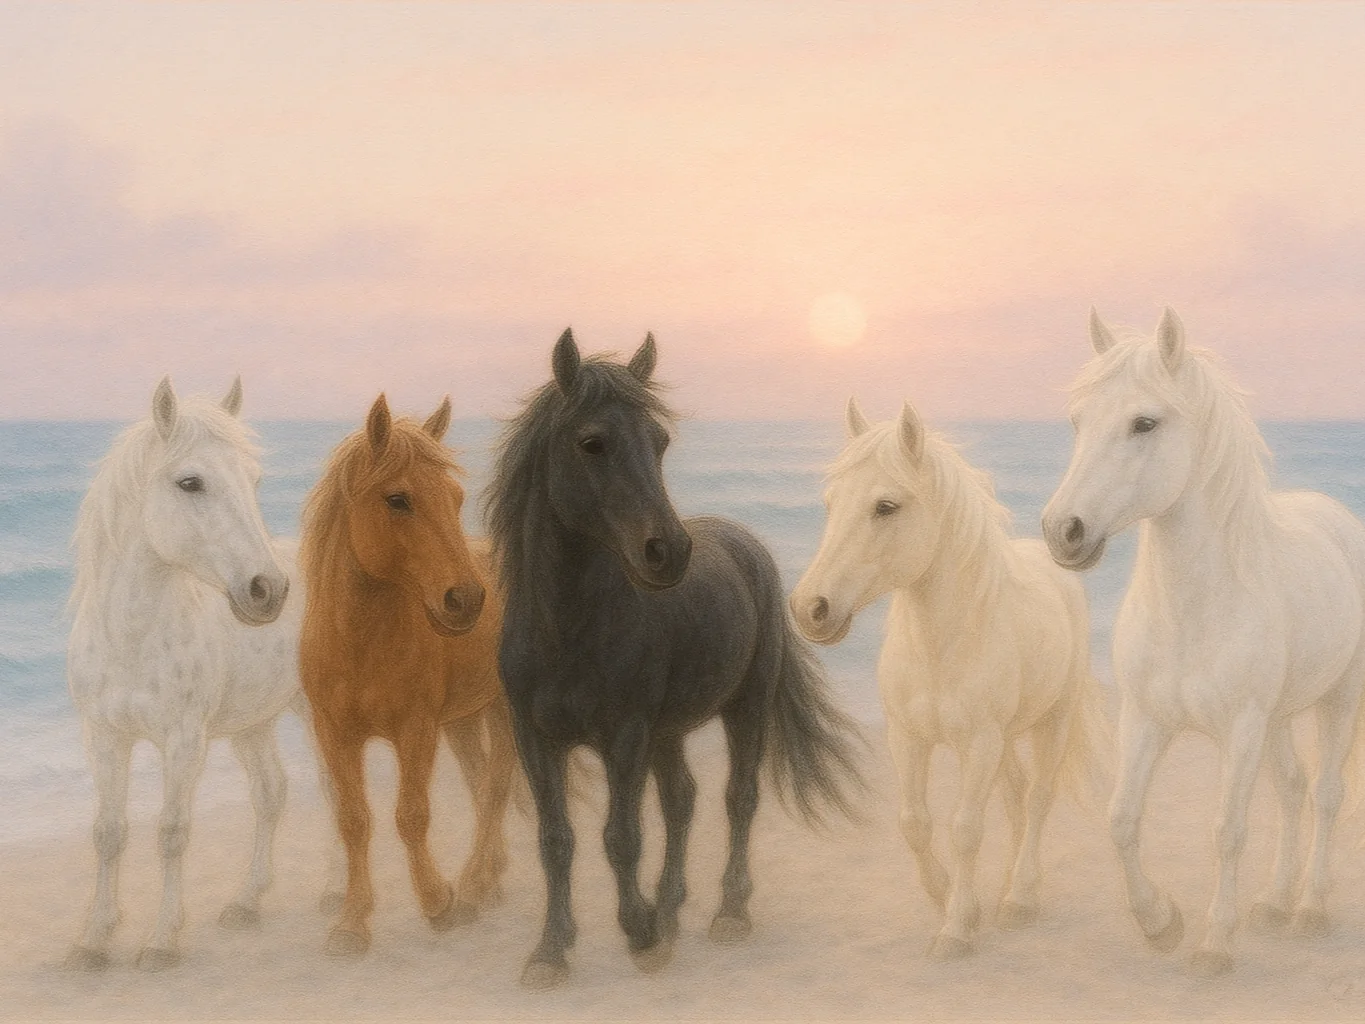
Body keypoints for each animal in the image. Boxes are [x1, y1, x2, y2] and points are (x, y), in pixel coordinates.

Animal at [66, 376, 301, 971]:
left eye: (254, 481)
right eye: (190, 483)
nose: (269, 591)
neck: (132, 637)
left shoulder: (183, 742)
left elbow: (172, 833)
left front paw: (160, 941)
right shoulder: (104, 737)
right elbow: (108, 832)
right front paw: (94, 940)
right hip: (254, 725)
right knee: (271, 792)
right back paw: (246, 903)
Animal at [298, 394, 518, 957]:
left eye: (456, 498)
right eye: (398, 499)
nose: (466, 600)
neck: (360, 643)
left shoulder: (416, 731)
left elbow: (411, 815)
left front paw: (437, 904)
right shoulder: (334, 734)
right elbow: (354, 820)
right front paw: (352, 925)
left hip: (506, 710)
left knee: (496, 785)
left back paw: (470, 887)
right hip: (464, 718)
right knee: (480, 780)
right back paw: (488, 881)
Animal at [486, 329, 864, 989]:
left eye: (659, 442)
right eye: (592, 443)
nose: (669, 551)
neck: (567, 630)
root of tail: (743, 542)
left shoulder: (625, 736)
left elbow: (621, 837)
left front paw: (638, 935)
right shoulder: (535, 739)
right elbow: (556, 840)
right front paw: (551, 952)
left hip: (744, 708)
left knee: (738, 797)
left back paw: (727, 914)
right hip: (668, 731)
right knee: (682, 801)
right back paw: (669, 910)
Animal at [789, 397, 1107, 959]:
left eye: (886, 506)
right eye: (830, 503)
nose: (810, 609)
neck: (941, 647)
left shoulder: (978, 743)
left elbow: (965, 829)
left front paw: (957, 928)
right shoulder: (908, 739)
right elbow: (915, 823)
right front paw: (949, 900)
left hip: (1052, 721)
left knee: (1038, 798)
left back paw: (1021, 896)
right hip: (1004, 739)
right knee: (1016, 798)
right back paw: (1006, 892)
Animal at [1042, 307, 1365, 975]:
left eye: (1144, 422)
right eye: (1078, 420)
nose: (1064, 531)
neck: (1192, 611)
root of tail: (1334, 515)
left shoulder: (1239, 729)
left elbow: (1227, 830)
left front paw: (1214, 944)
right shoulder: (1145, 718)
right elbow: (1121, 819)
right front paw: (1160, 923)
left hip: (1338, 699)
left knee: (1325, 795)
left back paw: (1310, 910)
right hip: (1278, 717)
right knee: (1292, 790)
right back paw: (1274, 903)